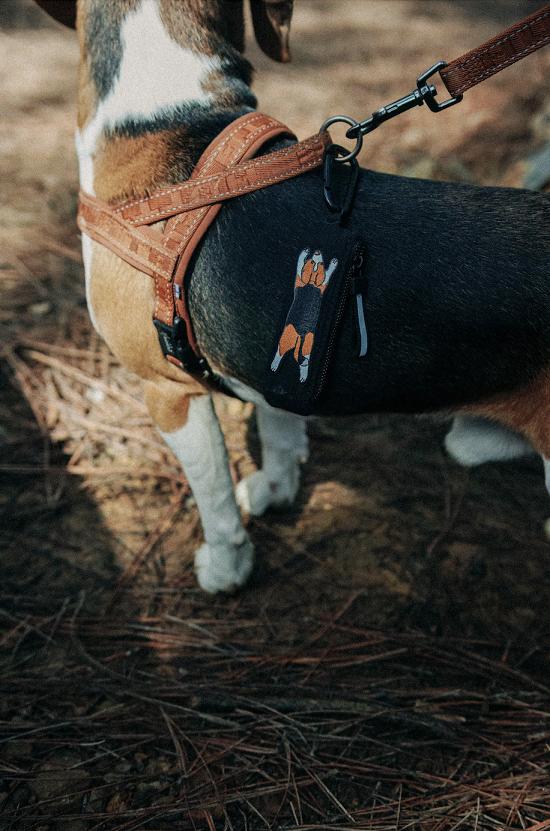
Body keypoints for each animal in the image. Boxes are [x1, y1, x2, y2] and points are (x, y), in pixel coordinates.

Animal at [33, 3, 550, 596]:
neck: (168, 114)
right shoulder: (268, 355)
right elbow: (278, 428)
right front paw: (277, 488)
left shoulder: (167, 390)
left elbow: (214, 498)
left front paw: (226, 568)